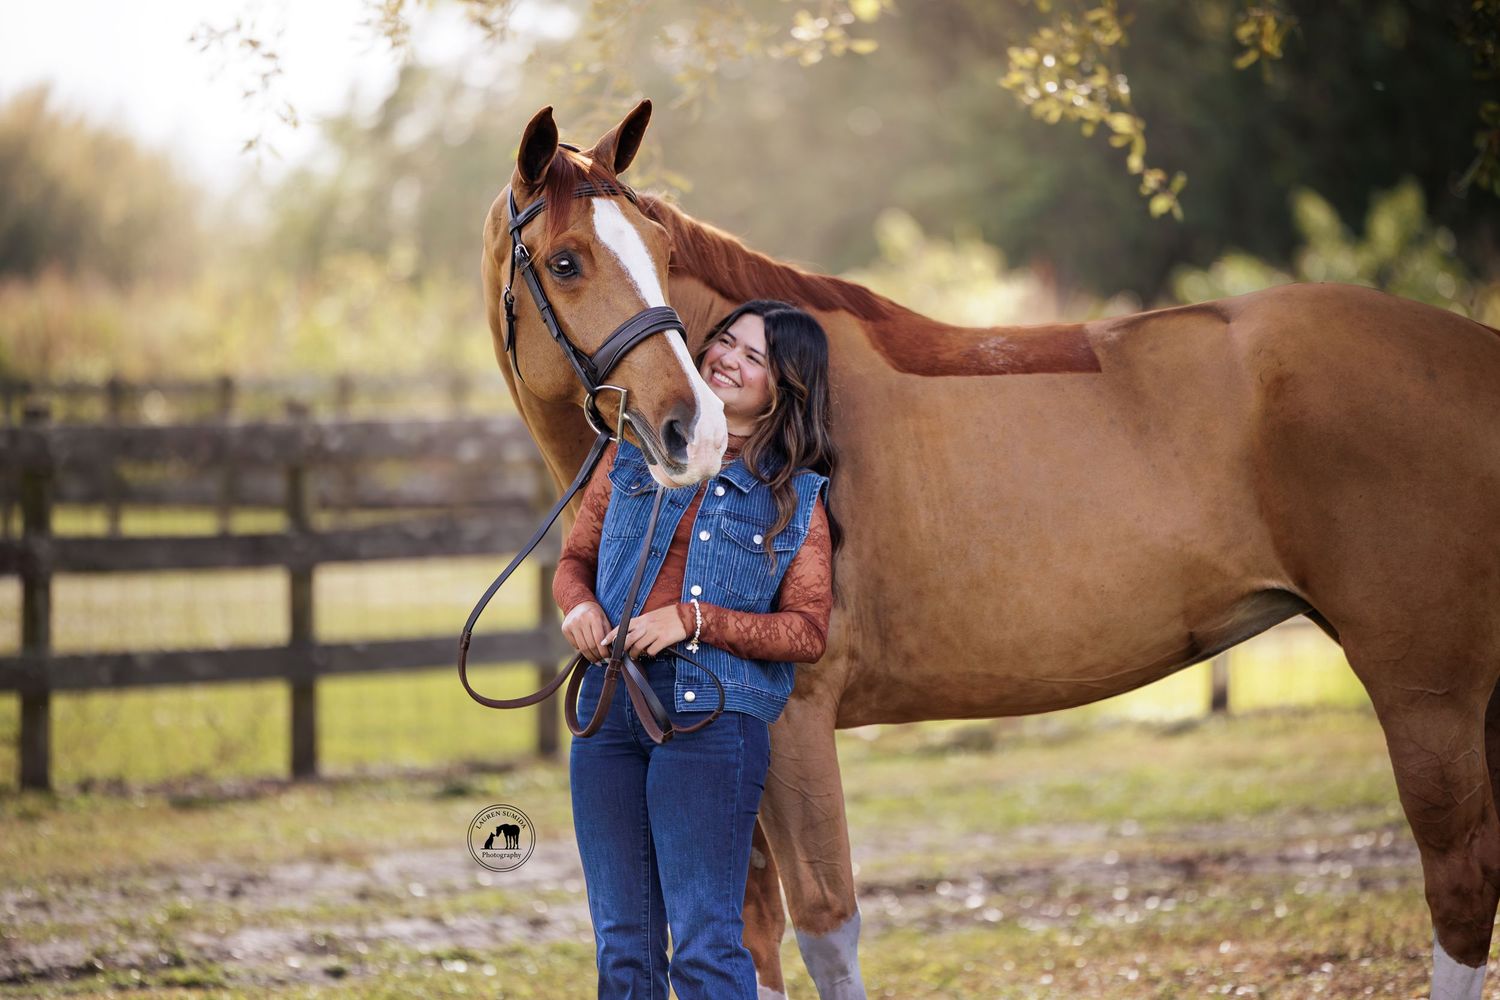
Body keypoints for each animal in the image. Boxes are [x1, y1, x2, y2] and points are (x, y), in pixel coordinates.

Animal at [483, 101, 1500, 1000]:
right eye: (567, 261)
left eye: (657, 251)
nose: (687, 430)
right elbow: (749, 934)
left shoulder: (791, 720)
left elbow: (825, 928)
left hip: (1427, 692)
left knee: (1461, 884)